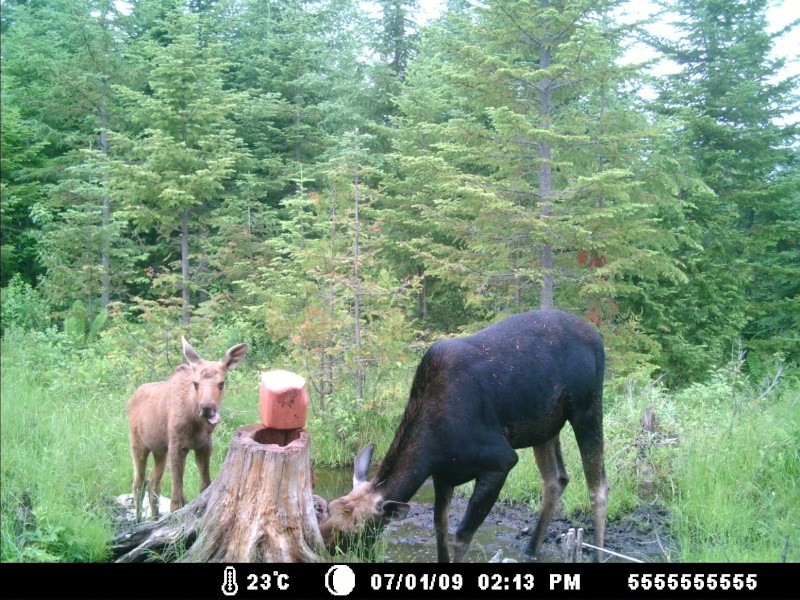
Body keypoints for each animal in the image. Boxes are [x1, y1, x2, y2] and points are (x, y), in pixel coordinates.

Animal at [126, 338, 247, 520]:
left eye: (222, 383)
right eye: (195, 384)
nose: (207, 408)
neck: (196, 424)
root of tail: (131, 398)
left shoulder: (204, 445)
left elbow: (204, 485)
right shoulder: (176, 445)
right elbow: (177, 496)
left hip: (159, 450)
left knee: (153, 482)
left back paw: (154, 518)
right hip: (138, 444)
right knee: (138, 483)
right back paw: (139, 520)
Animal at [318, 310, 608, 564]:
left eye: (355, 529)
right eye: (329, 509)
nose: (323, 544)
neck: (432, 451)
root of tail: (597, 337)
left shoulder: (501, 461)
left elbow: (461, 537)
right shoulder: (444, 476)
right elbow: (440, 530)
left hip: (586, 408)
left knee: (598, 487)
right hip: (544, 426)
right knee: (556, 479)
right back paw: (531, 549)